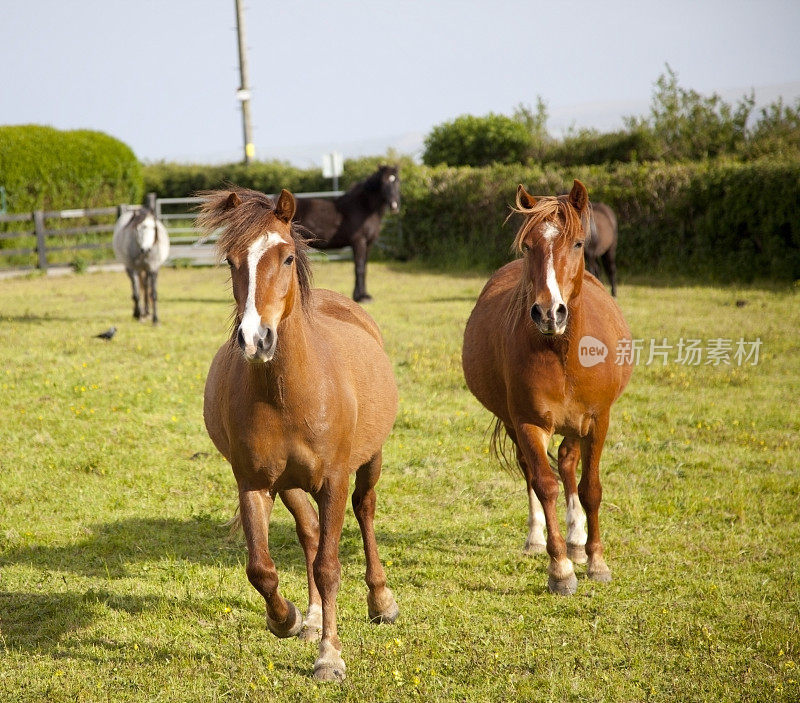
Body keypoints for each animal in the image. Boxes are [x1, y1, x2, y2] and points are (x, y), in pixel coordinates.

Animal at [200, 187, 400, 680]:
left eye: (287, 257)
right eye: (231, 260)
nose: (255, 339)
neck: (288, 394)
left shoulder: (333, 481)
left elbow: (329, 566)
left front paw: (329, 657)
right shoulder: (253, 484)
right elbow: (261, 569)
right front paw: (287, 619)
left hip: (371, 459)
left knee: (365, 511)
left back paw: (380, 600)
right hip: (289, 484)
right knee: (308, 531)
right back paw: (310, 618)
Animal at [294, 166, 400, 302]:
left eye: (397, 181)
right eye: (383, 182)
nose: (394, 206)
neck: (363, 208)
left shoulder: (368, 243)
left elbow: (364, 267)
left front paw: (364, 295)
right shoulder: (359, 242)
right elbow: (359, 268)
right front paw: (360, 297)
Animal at [462, 180, 632, 592]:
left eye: (578, 243)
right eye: (527, 246)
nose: (548, 312)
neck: (564, 353)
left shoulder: (598, 420)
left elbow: (590, 488)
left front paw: (595, 561)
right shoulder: (528, 423)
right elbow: (544, 484)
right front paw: (560, 570)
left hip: (576, 425)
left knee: (569, 463)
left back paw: (577, 540)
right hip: (514, 422)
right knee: (532, 471)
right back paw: (539, 539)